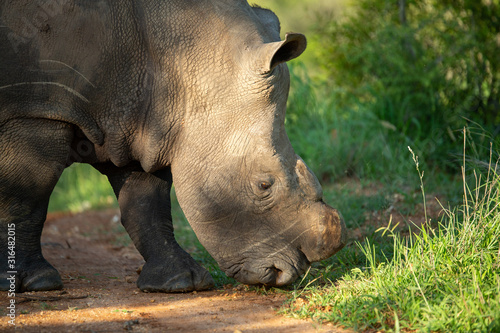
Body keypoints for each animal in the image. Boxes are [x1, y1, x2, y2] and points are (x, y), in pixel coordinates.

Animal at [0, 0, 346, 290]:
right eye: (264, 184)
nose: (286, 274)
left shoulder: (138, 120)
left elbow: (147, 203)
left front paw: (181, 282)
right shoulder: (34, 108)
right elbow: (26, 194)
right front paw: (34, 282)